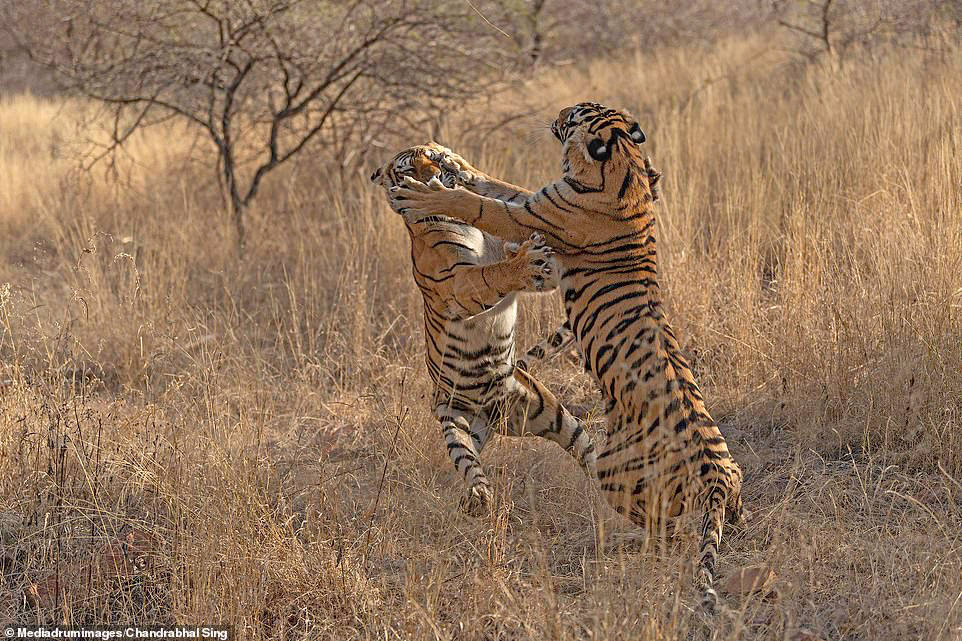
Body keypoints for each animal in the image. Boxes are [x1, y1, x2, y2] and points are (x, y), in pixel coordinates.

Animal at [366, 142, 592, 512]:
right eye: (409, 170)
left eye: (433, 158)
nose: (438, 176)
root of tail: (495, 416)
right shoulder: (459, 285)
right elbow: (492, 273)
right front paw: (526, 260)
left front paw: (468, 171)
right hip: (453, 422)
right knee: (469, 462)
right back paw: (478, 497)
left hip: (551, 414)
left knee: (587, 449)